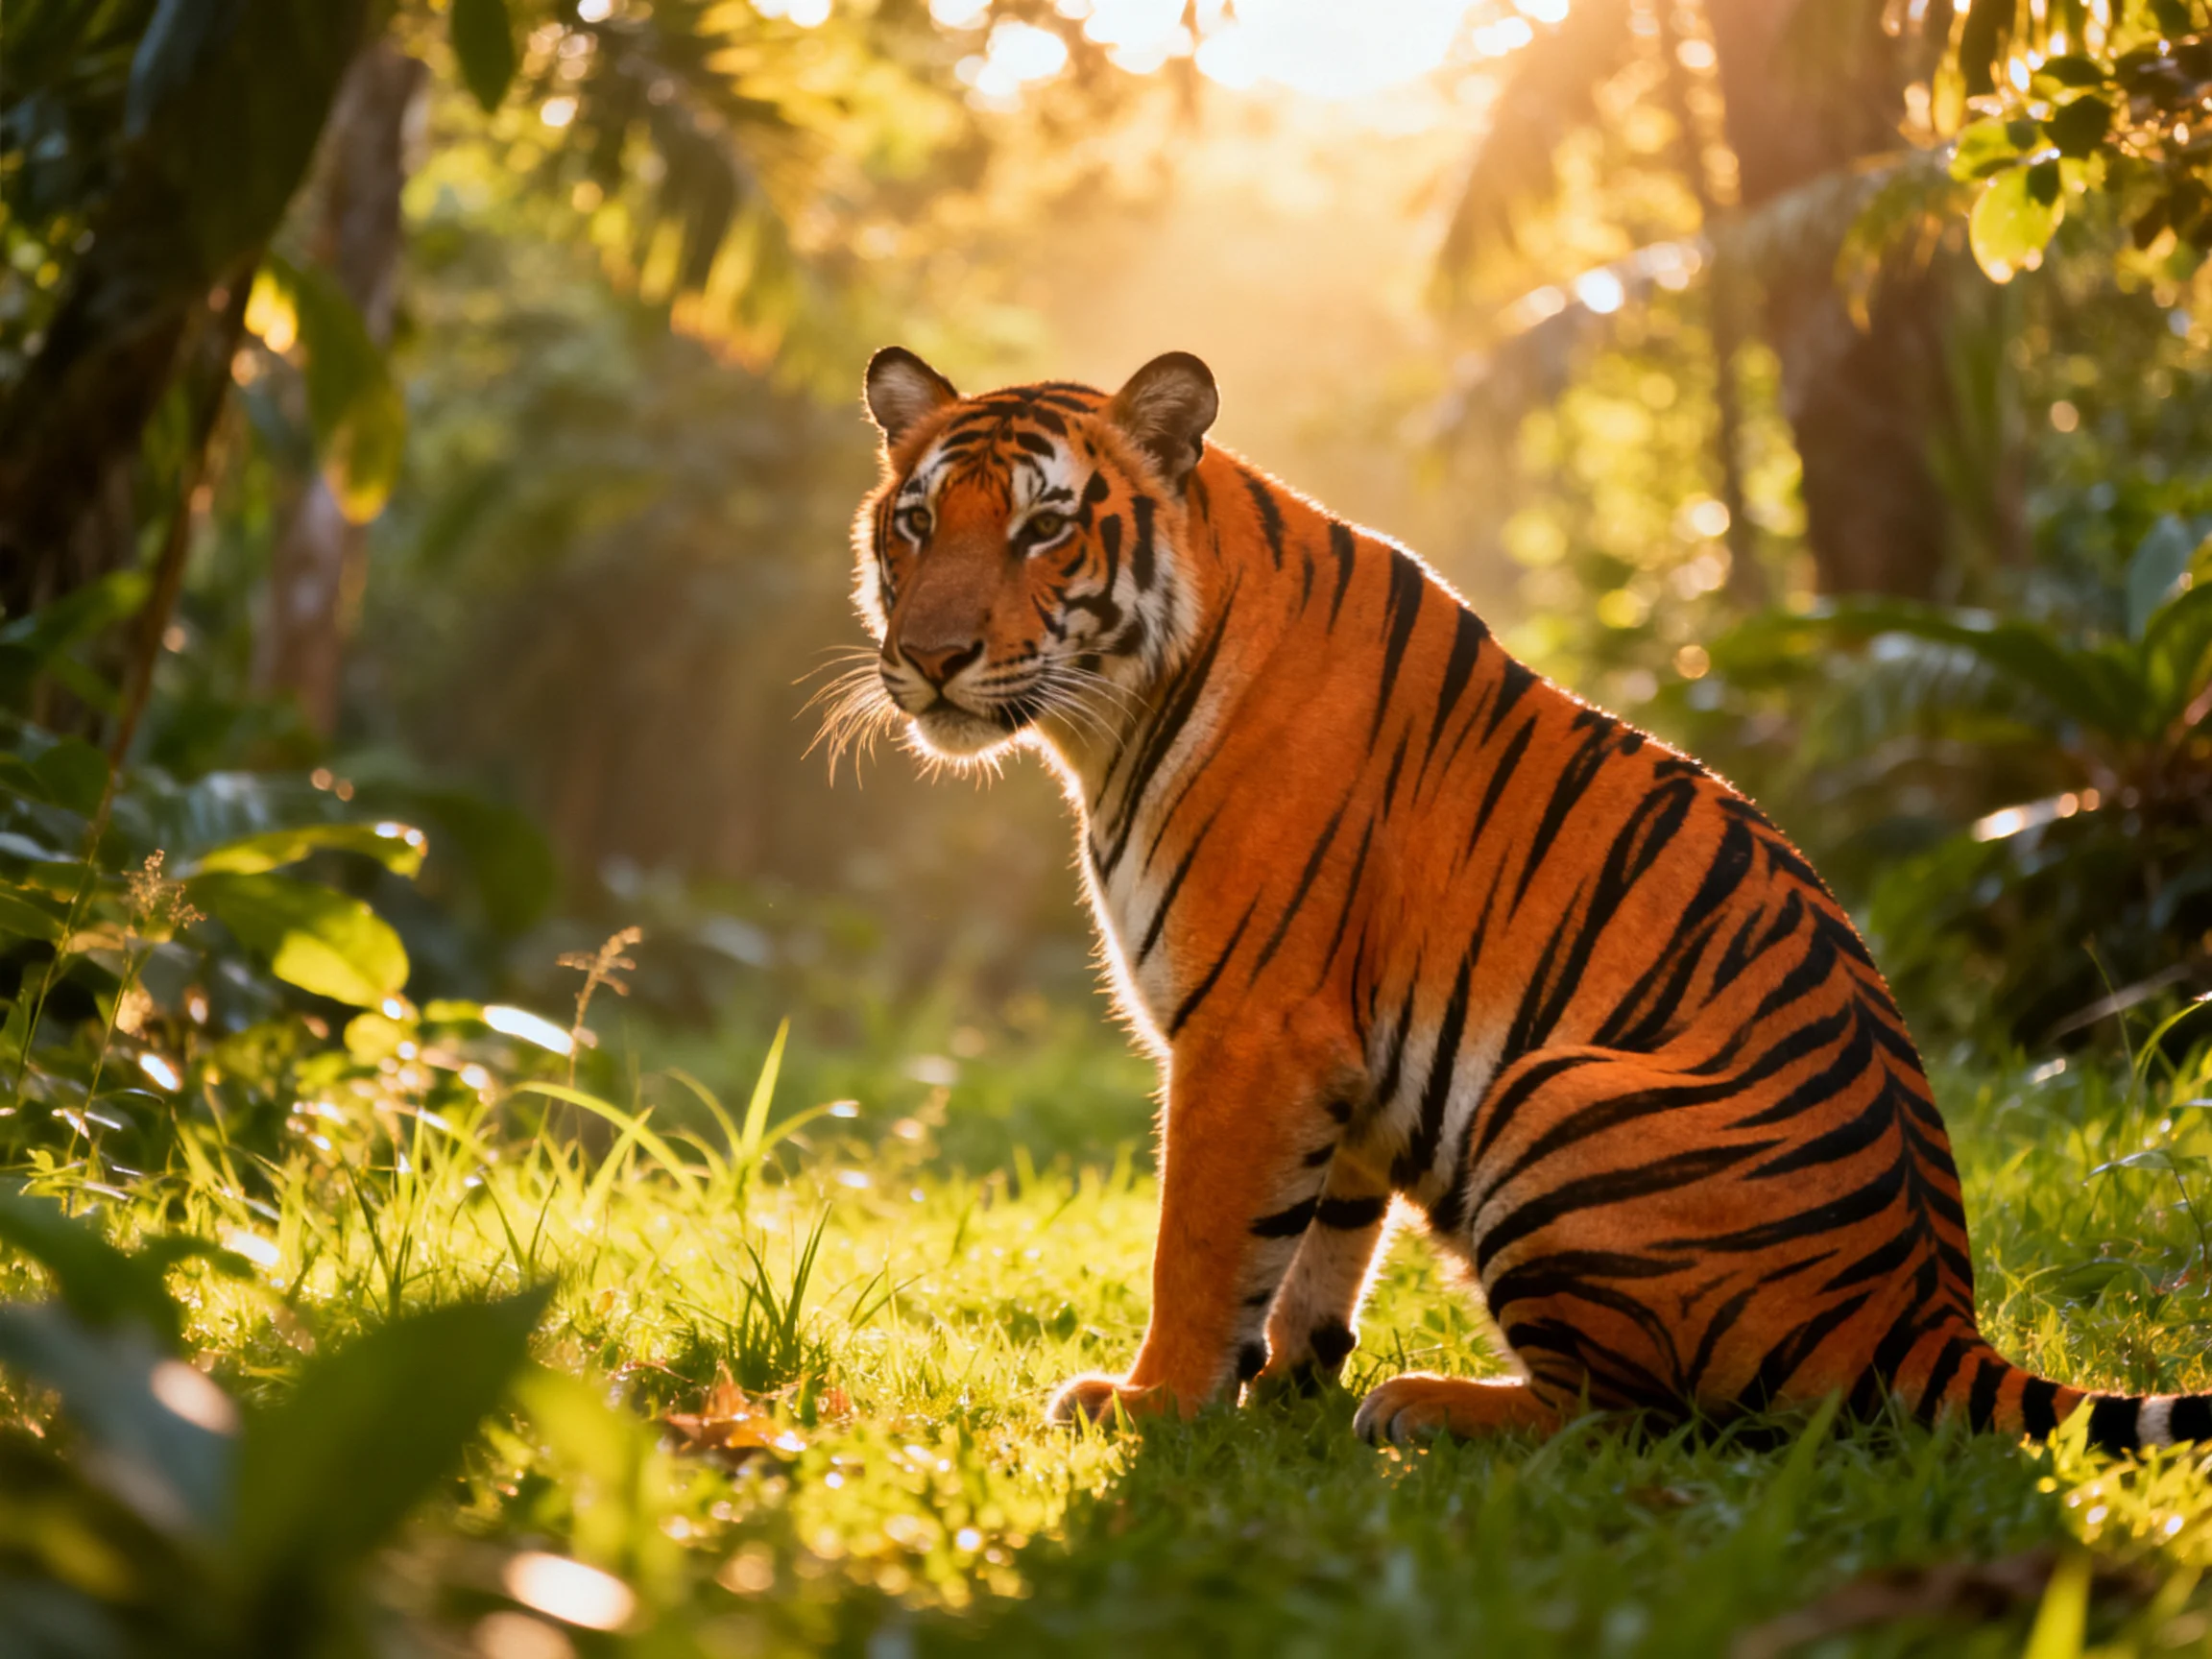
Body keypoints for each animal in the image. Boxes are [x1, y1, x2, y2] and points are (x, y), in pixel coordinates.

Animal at [839, 344, 2209, 1454]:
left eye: (1043, 530)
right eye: (915, 524)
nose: (930, 658)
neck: (1109, 724)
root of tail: (1928, 1315)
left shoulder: (1250, 1030)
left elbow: (1204, 1243)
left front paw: (1154, 1404)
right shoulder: (1341, 1056)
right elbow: (1318, 1239)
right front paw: (1283, 1382)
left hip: (1555, 1092)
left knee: (1628, 1415)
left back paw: (1430, 1406)